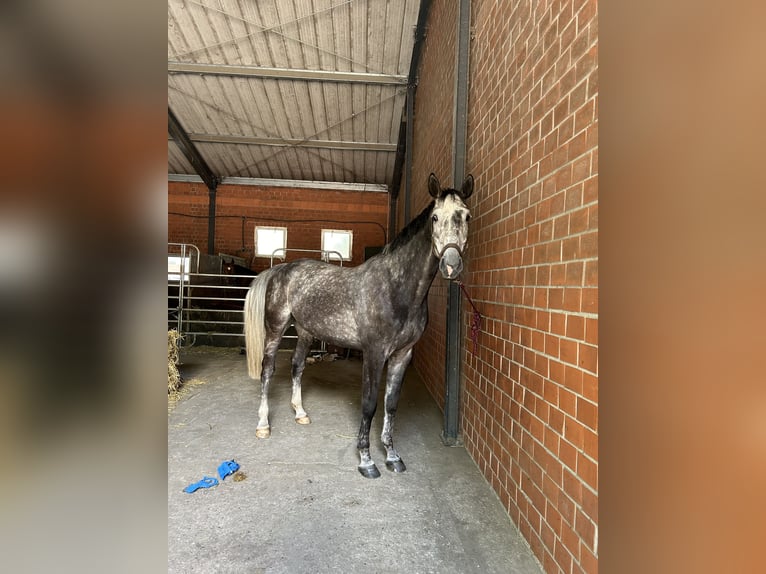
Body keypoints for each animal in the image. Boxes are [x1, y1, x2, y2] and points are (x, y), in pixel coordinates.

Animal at [246, 173, 474, 480]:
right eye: (435, 217)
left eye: (466, 216)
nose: (451, 265)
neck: (395, 288)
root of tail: (281, 269)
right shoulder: (374, 353)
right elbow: (369, 404)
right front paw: (366, 460)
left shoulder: (403, 354)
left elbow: (391, 404)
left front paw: (392, 456)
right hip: (275, 328)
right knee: (267, 370)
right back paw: (263, 425)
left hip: (305, 332)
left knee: (297, 367)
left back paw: (300, 413)